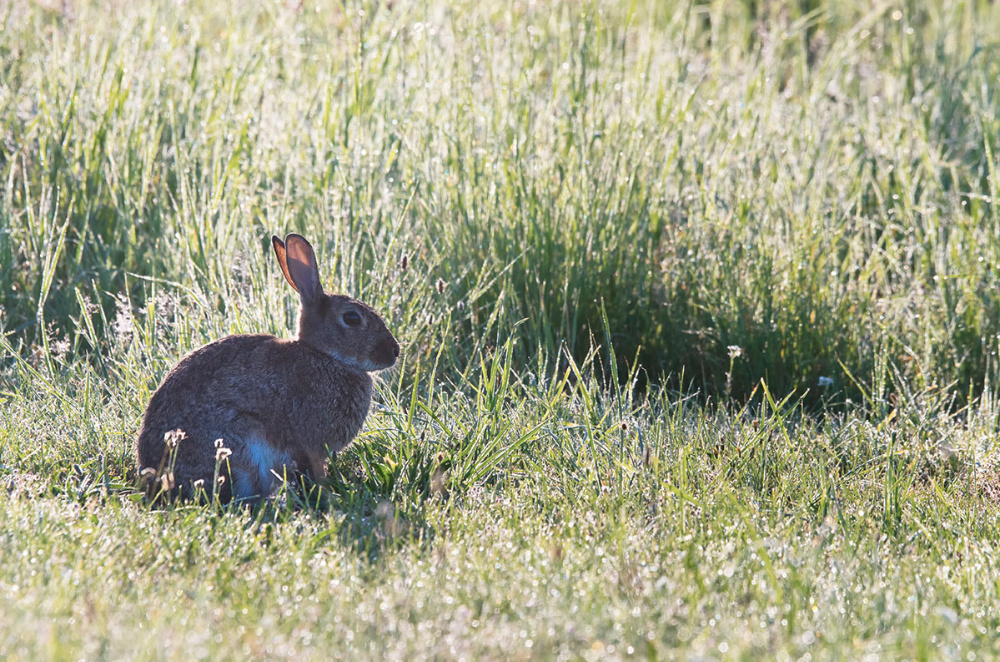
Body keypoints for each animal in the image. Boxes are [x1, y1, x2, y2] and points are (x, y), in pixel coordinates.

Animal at [136, 233, 398, 504]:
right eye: (352, 319)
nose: (395, 351)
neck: (324, 355)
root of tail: (160, 480)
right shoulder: (312, 444)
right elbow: (317, 469)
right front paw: (328, 494)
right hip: (241, 448)